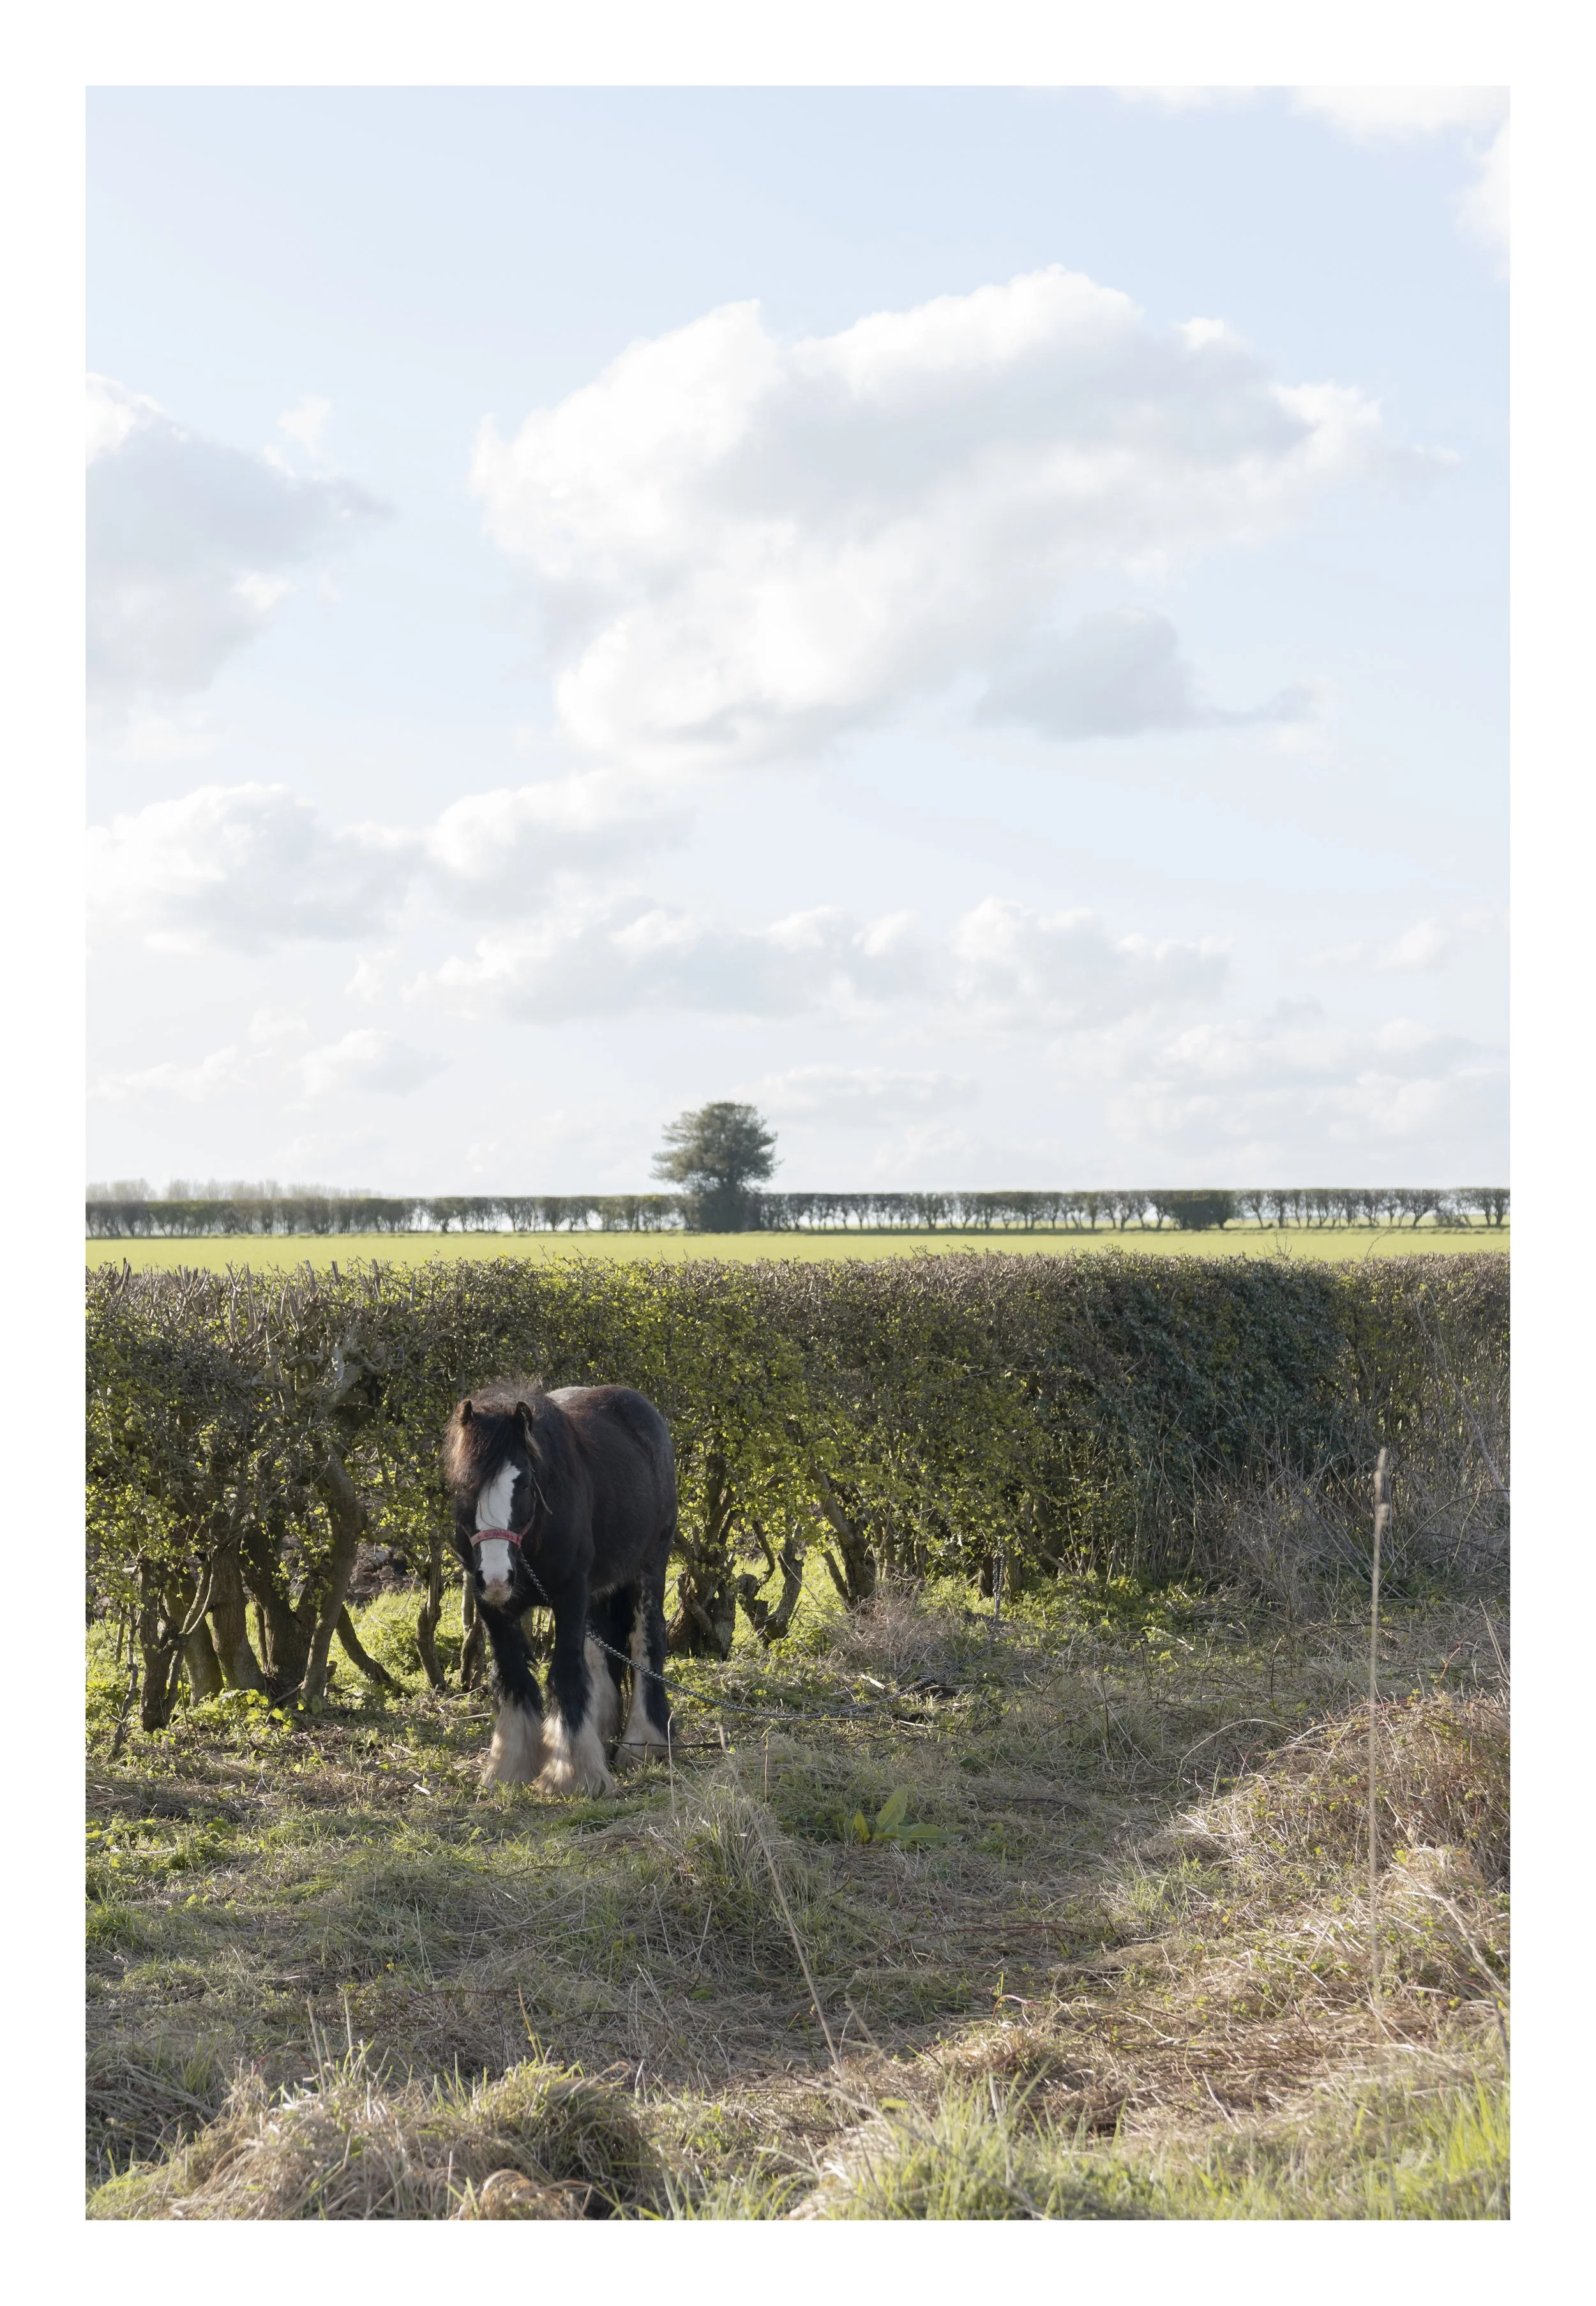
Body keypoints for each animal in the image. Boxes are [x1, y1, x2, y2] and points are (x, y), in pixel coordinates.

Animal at [444, 1379, 676, 1795]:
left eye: (523, 1483)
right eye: (464, 1487)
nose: (498, 1578)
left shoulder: (570, 1597)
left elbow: (565, 1674)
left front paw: (574, 1775)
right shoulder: (493, 1610)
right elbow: (515, 1678)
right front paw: (509, 1767)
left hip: (650, 1568)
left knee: (645, 1643)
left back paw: (644, 1745)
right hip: (598, 1591)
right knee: (599, 1656)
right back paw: (601, 1737)